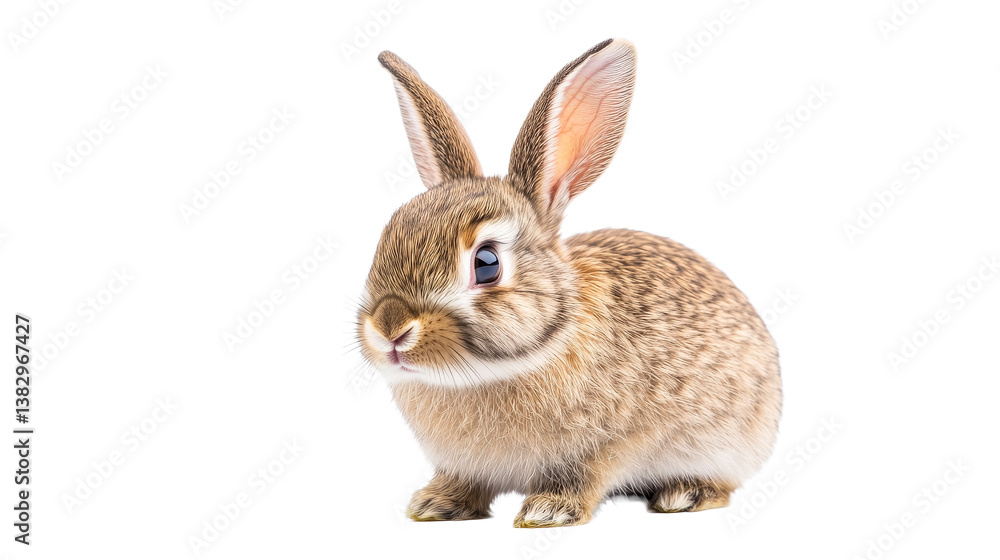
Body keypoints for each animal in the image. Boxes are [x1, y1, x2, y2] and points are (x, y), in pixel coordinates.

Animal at [356, 38, 782, 528]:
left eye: (486, 263)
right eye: (385, 236)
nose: (390, 328)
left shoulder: (608, 445)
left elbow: (584, 476)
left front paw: (548, 511)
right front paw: (434, 504)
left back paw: (685, 494)